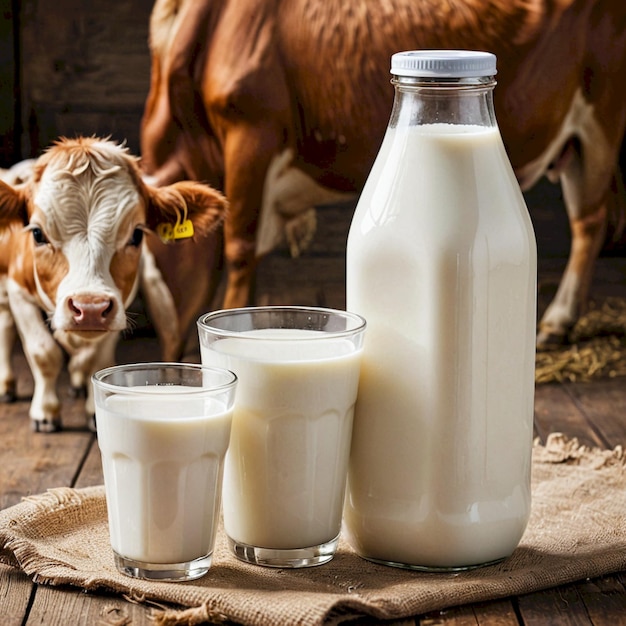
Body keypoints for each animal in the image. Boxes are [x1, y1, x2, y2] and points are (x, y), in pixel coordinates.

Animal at [0, 136, 227, 428]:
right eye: (37, 234)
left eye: (137, 235)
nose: (89, 308)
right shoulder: (18, 291)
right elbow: (44, 352)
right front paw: (46, 412)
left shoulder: (119, 302)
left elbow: (96, 359)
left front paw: (92, 410)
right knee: (6, 327)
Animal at [140, 0, 624, 346]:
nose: (171, 351)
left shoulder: (251, 132)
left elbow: (240, 249)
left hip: (601, 114)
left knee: (590, 220)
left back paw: (556, 321)